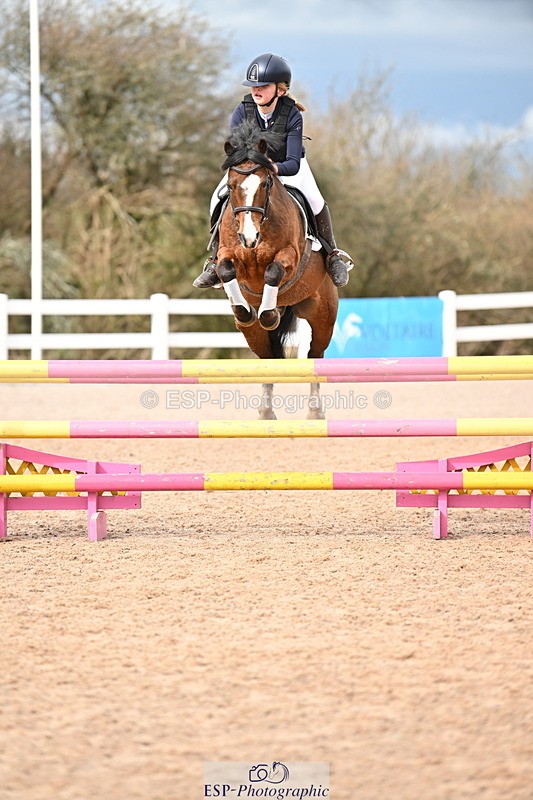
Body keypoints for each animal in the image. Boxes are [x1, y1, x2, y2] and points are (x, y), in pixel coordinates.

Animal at [214, 121, 339, 419]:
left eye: (266, 183)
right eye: (231, 186)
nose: (249, 237)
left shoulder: (290, 256)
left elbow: (272, 271)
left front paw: (268, 314)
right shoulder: (227, 254)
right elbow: (225, 269)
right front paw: (245, 310)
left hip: (322, 316)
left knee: (314, 355)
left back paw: (314, 414)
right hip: (253, 335)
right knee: (268, 359)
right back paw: (266, 413)